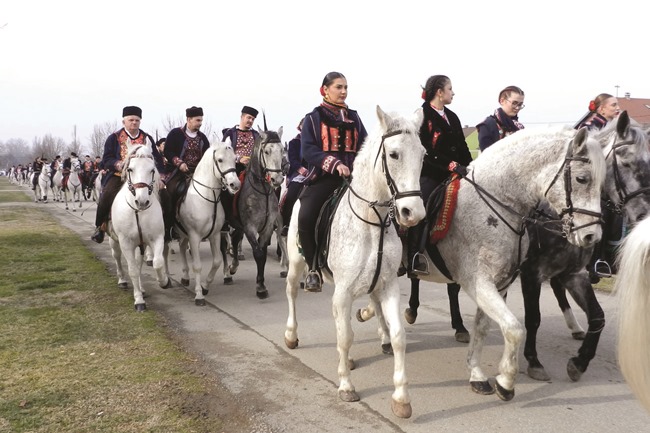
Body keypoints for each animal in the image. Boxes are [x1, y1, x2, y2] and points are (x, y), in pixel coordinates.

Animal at [106, 143, 168, 308]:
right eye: (130, 169)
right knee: (116, 257)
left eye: (152, 170)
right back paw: (122, 280)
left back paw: (142, 288)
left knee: (139, 263)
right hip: (114, 240)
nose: (142, 201)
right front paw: (139, 300)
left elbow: (157, 262)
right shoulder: (126, 243)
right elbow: (133, 270)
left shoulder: (156, 238)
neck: (138, 212)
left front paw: (164, 281)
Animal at [175, 138, 240, 304]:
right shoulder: (194, 236)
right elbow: (197, 266)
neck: (207, 198)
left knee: (182, 247)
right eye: (220, 160)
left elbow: (217, 261)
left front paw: (205, 286)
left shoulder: (215, 235)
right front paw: (199, 295)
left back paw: (185, 277)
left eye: (234, 159)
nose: (235, 185)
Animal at [219, 120, 284, 296]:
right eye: (267, 151)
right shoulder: (250, 227)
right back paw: (227, 274)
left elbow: (263, 254)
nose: (277, 179)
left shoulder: (267, 227)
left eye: (282, 150)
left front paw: (260, 283)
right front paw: (260, 288)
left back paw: (233, 267)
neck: (262, 191)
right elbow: (258, 253)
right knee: (223, 246)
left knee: (235, 240)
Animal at [284, 105, 426, 418]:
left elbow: (398, 336)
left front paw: (401, 398)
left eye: (423, 154)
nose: (413, 213)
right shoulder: (344, 290)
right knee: (293, 293)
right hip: (297, 265)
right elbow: (345, 337)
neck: (373, 222)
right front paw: (346, 387)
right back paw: (291, 335)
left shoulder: (387, 286)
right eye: (394, 154)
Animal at [400, 112, 648, 382]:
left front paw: (579, 363)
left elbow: (597, 317)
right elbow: (533, 319)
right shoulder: (531, 274)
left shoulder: (573, 273)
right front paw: (533, 362)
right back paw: (412, 311)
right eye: (626, 164)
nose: (591, 235)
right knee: (415, 277)